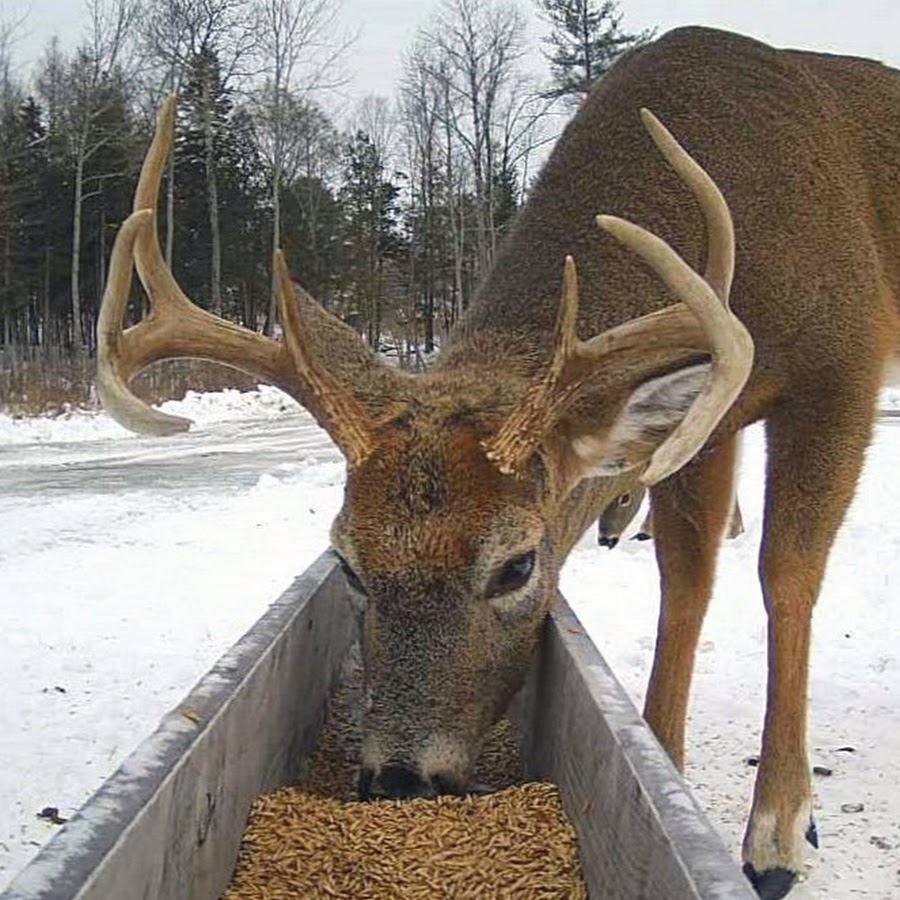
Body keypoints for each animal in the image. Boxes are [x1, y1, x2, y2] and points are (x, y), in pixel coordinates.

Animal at [96, 25, 900, 900]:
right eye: (346, 561)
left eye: (517, 565)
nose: (401, 781)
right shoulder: (705, 425)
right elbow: (685, 583)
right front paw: (664, 762)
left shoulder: (843, 365)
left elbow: (786, 577)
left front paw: (778, 834)